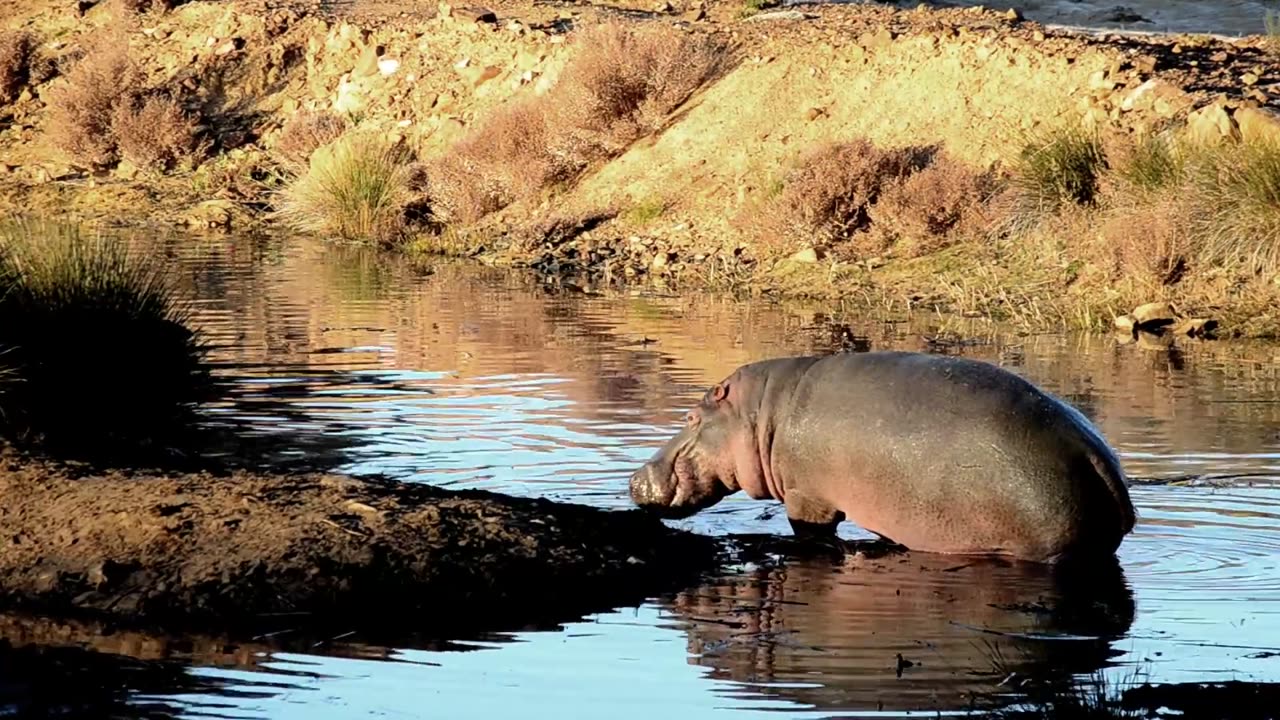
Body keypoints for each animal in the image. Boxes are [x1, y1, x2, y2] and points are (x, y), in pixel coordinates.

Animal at [624, 351, 1136, 563]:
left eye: (690, 416)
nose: (633, 478)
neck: (760, 414)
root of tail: (1097, 458)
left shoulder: (808, 498)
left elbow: (812, 531)